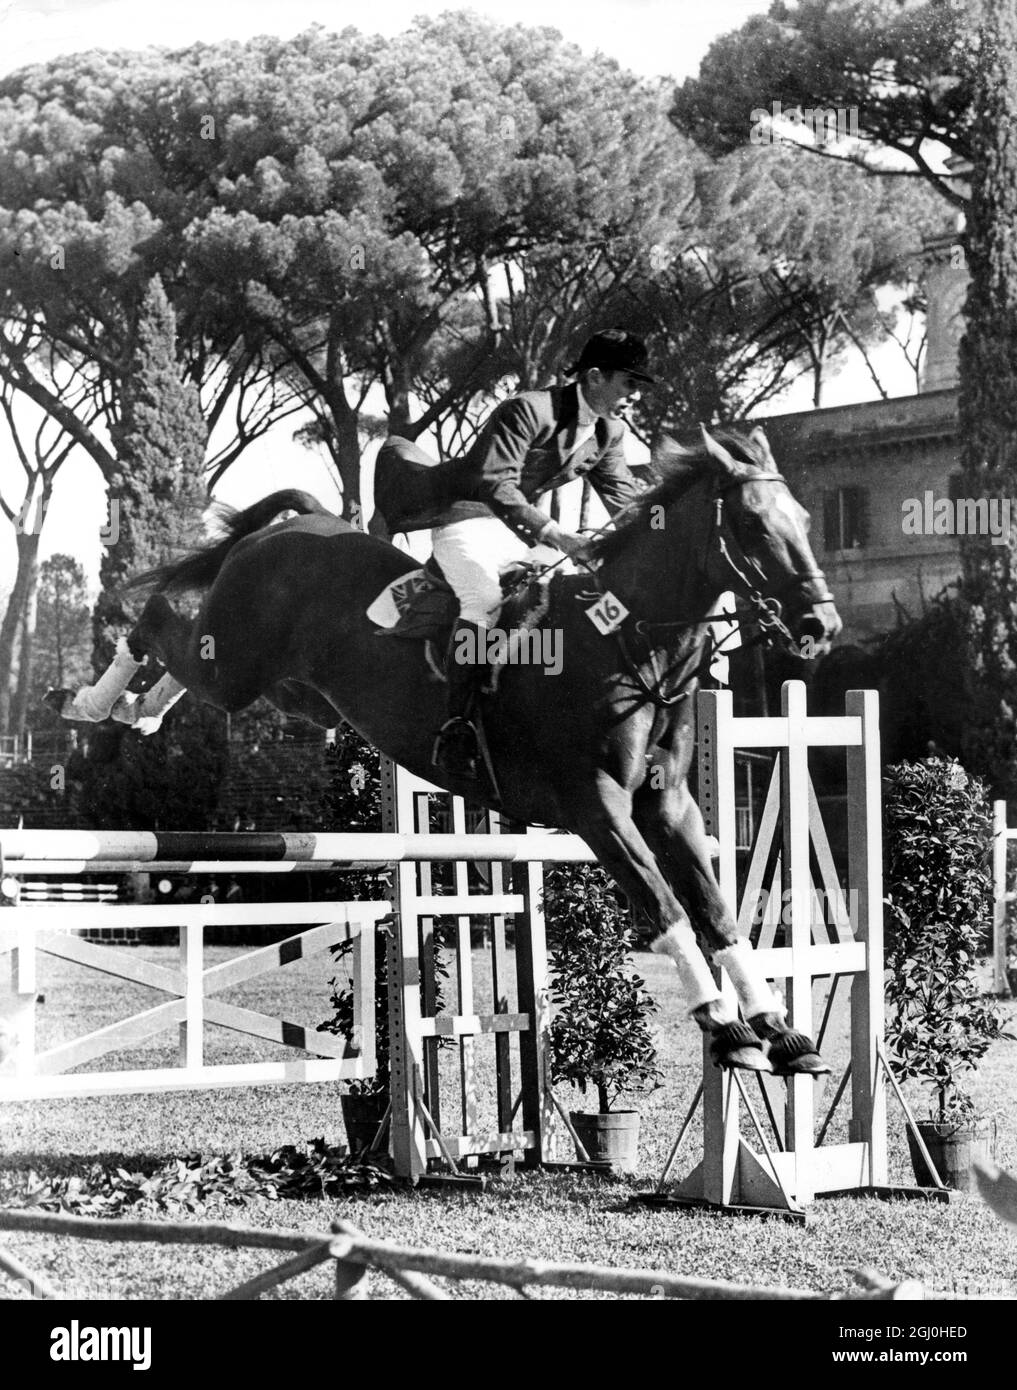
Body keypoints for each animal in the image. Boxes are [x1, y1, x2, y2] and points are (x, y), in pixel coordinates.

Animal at [47, 422, 844, 1073]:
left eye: (808, 520)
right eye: (753, 524)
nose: (822, 626)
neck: (625, 641)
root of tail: (303, 521)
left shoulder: (670, 805)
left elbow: (716, 909)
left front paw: (778, 1029)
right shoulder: (597, 811)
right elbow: (664, 904)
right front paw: (724, 1028)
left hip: (288, 688)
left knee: (185, 669)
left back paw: (134, 714)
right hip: (238, 657)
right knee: (156, 621)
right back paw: (89, 707)